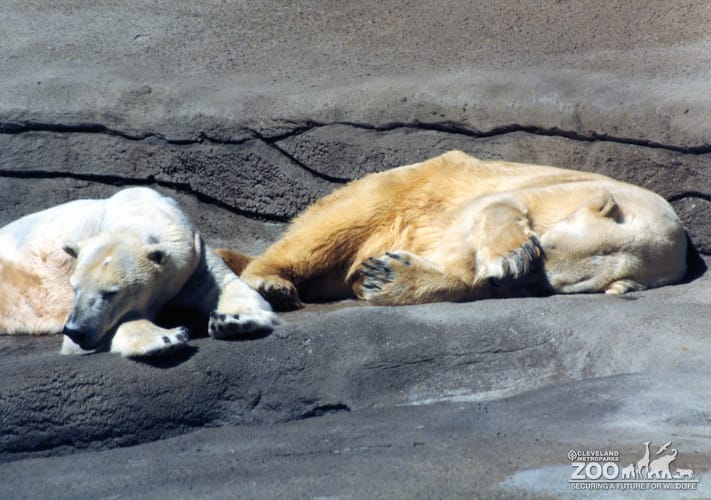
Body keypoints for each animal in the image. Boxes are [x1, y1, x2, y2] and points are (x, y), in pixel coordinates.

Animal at [0, 187, 278, 357]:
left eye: (111, 293)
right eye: (74, 288)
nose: (75, 329)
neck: (141, 211)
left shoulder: (193, 258)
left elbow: (227, 286)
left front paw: (231, 320)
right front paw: (166, 338)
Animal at [218, 150, 687, 310]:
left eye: (553, 285)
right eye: (546, 246)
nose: (515, 278)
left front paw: (387, 276)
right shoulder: (560, 187)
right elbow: (491, 211)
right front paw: (509, 256)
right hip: (400, 185)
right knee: (332, 228)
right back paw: (270, 281)